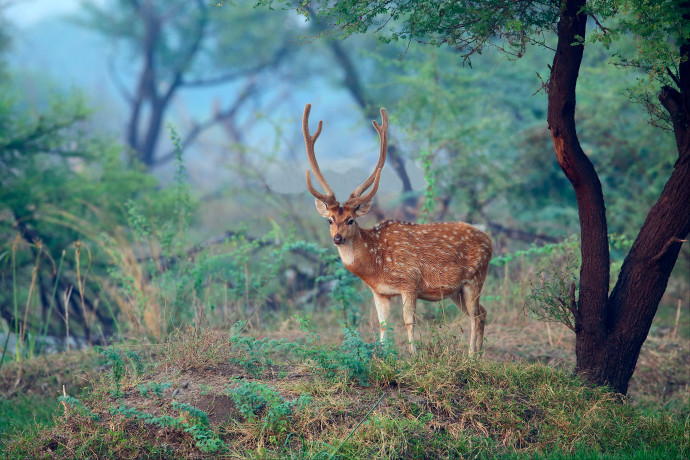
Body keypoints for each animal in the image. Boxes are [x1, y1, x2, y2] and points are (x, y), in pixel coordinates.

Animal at [300, 104, 490, 354]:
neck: (376, 266)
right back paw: (478, 354)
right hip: (456, 290)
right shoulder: (379, 292)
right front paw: (385, 356)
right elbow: (384, 325)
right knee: (482, 313)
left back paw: (471, 356)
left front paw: (414, 356)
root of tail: (490, 241)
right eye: (329, 220)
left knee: (476, 316)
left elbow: (409, 321)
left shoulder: (410, 281)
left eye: (351, 219)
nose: (338, 238)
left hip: (475, 278)